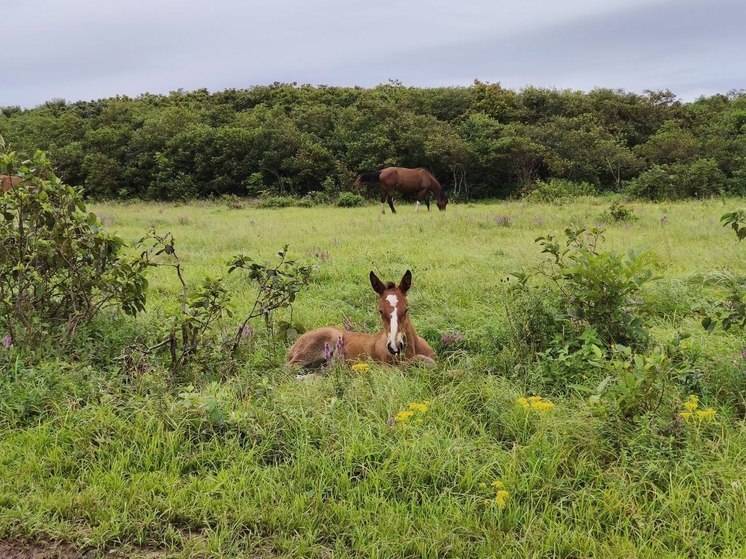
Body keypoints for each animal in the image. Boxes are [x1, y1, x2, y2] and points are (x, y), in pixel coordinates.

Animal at [286, 272, 436, 372]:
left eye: (406, 309)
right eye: (380, 311)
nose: (394, 347)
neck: (412, 349)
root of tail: (295, 343)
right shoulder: (387, 368)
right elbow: (419, 361)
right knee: (290, 368)